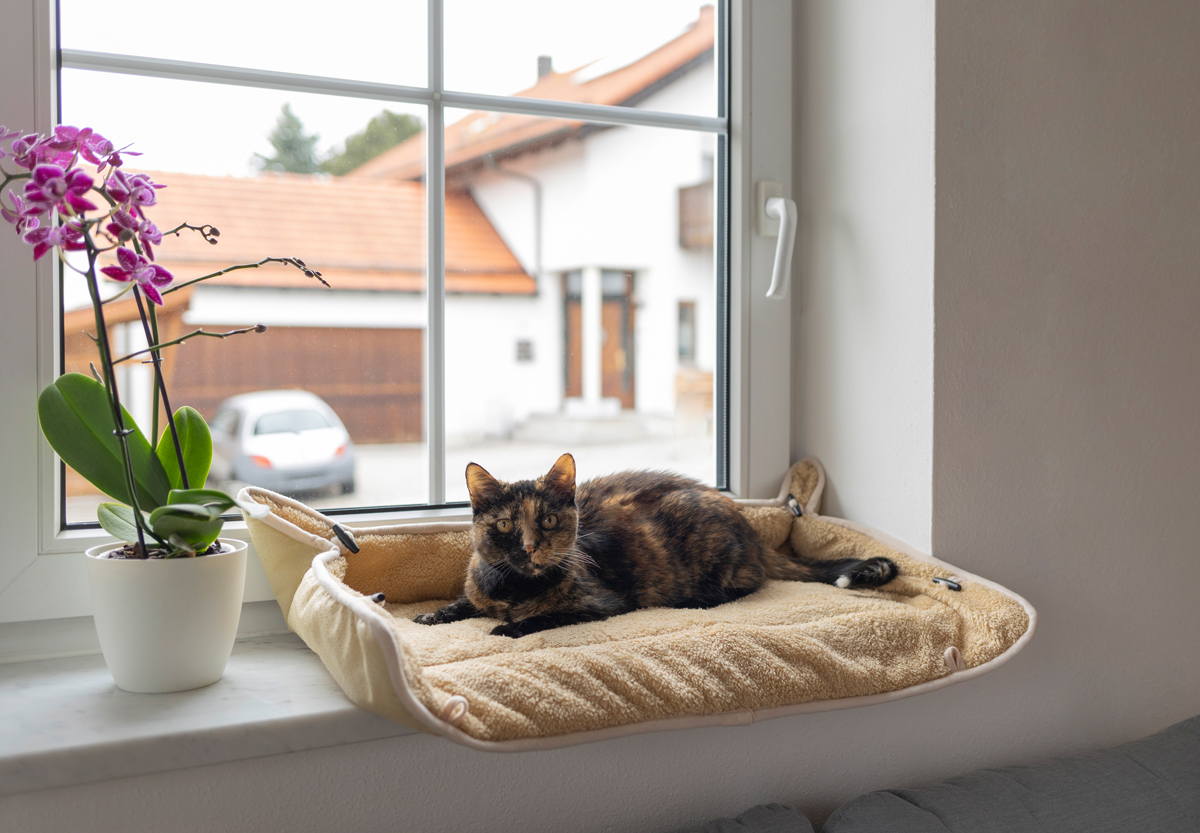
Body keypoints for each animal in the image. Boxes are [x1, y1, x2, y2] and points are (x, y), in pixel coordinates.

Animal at [412, 456, 892, 638]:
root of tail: (750, 528)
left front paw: (508, 628)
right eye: (506, 525)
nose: (530, 547)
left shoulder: (602, 603)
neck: (514, 590)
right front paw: (432, 616)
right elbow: (464, 602)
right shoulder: (480, 588)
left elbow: (547, 617)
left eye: (547, 520)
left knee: (742, 587)